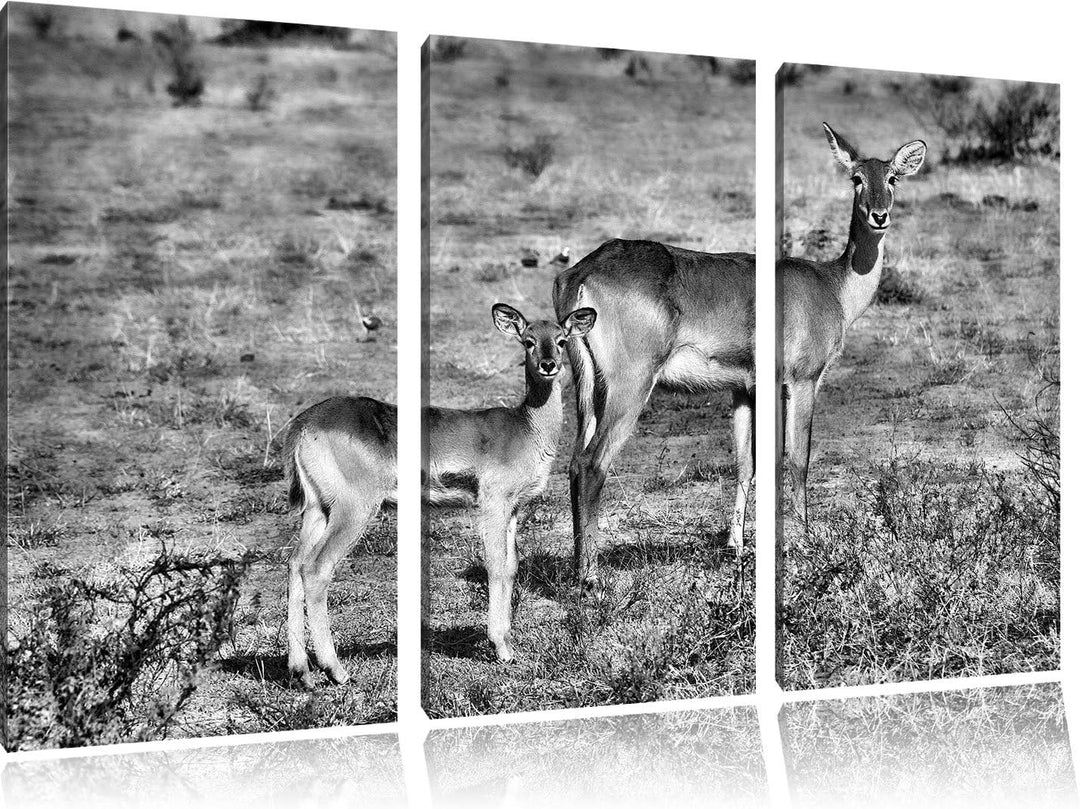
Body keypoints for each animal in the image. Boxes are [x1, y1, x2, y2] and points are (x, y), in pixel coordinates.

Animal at [285, 303, 595, 685]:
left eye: (562, 339)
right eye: (528, 340)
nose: (549, 365)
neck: (525, 428)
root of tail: (305, 423)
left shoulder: (513, 510)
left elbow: (511, 567)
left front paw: (508, 643)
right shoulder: (492, 505)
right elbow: (495, 566)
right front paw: (500, 647)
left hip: (317, 510)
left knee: (295, 563)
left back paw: (301, 670)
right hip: (353, 511)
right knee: (316, 569)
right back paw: (337, 670)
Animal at [553, 239, 755, 592]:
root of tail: (582, 272)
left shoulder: (743, 391)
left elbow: (745, 466)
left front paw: (736, 546)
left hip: (588, 389)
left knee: (576, 463)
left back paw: (579, 571)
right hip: (630, 389)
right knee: (592, 464)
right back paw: (592, 579)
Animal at [781, 123, 925, 523]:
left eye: (892, 177)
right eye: (856, 178)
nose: (879, 215)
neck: (832, 285)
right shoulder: (804, 378)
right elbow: (798, 459)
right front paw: (805, 531)